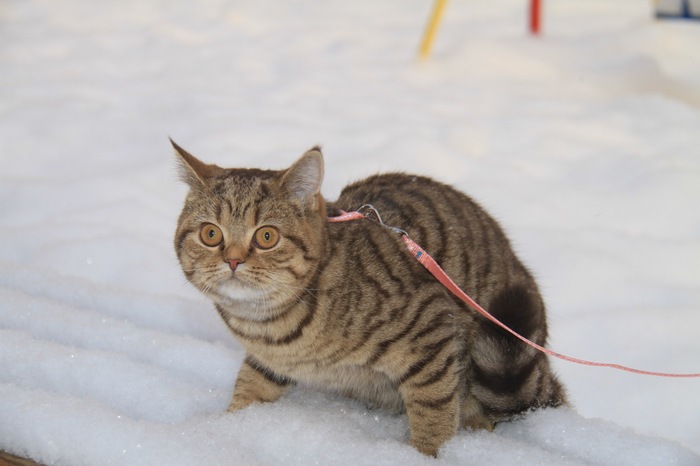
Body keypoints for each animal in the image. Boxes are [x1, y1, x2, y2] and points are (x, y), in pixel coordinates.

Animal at [172, 140, 568, 456]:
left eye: (266, 236)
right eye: (210, 234)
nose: (233, 260)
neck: (269, 325)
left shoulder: (431, 329)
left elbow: (434, 408)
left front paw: (425, 454)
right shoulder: (265, 361)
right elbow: (249, 387)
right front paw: (226, 428)